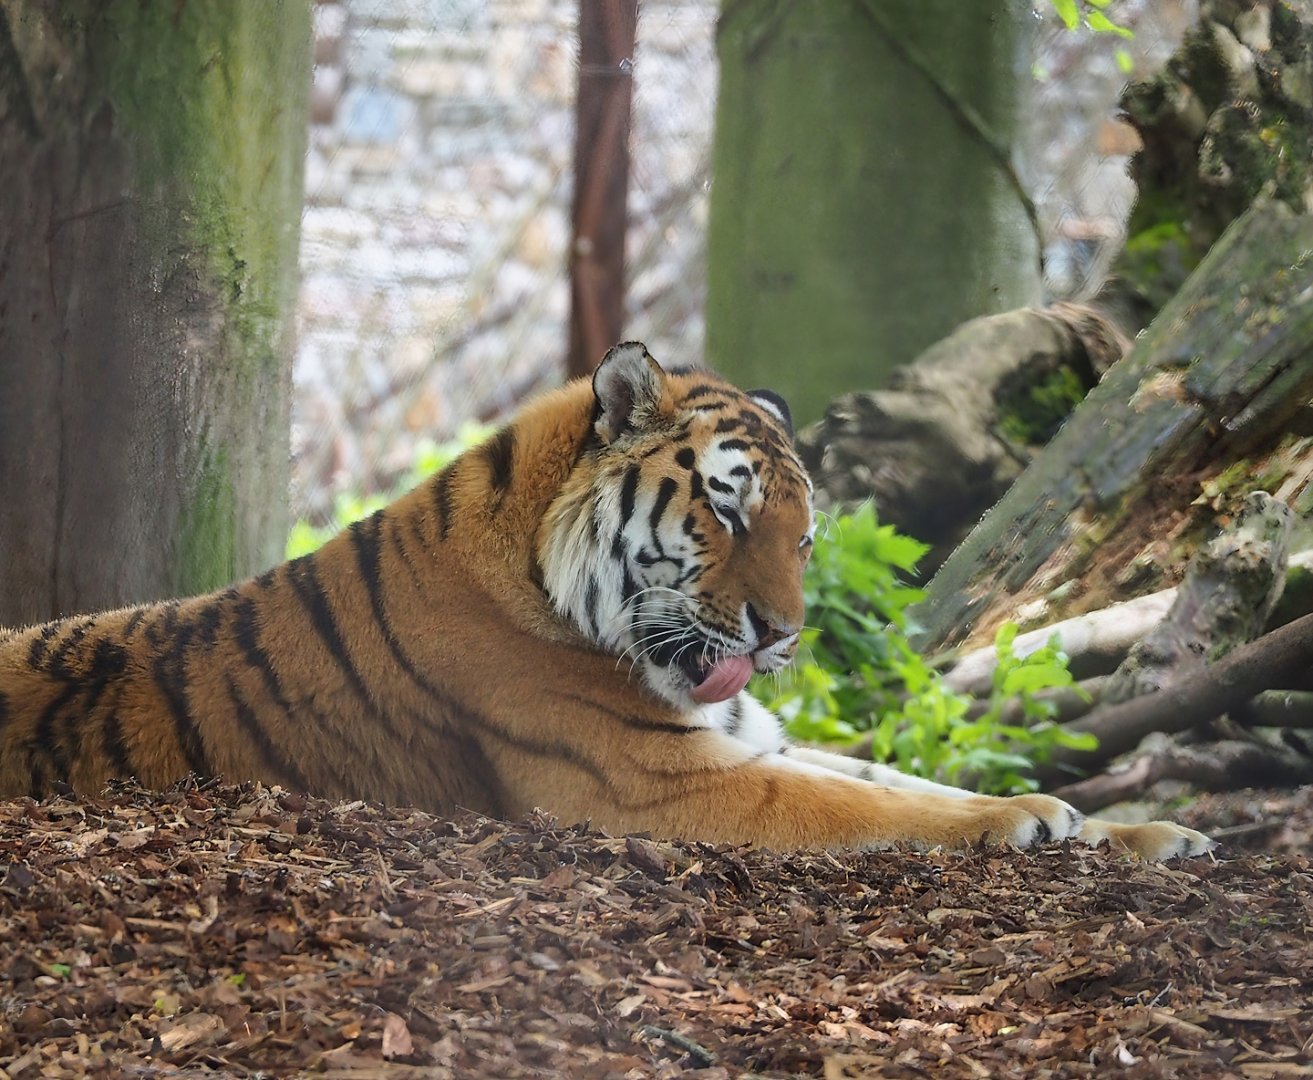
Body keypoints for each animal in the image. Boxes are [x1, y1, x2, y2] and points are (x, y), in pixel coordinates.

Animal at [0, 343, 1212, 859]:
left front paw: (1141, 828)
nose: (782, 637)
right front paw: (1023, 820)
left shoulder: (748, 737)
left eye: (803, 534)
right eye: (726, 510)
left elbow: (892, 776)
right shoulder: (656, 785)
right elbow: (872, 807)